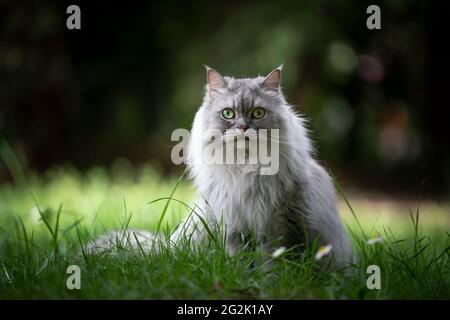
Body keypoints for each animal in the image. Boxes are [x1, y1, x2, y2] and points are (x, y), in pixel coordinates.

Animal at [83, 64, 352, 264]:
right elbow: (241, 262)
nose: (242, 128)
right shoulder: (234, 227)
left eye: (257, 113)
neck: (245, 170)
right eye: (228, 114)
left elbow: (274, 264)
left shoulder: (281, 228)